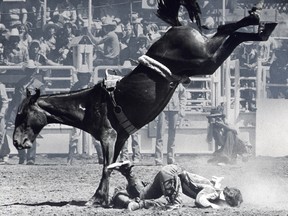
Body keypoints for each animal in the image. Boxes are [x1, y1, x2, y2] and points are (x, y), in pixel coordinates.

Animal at [11, 0, 276, 206]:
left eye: (22, 114)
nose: (16, 142)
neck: (89, 104)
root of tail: (176, 27)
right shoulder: (119, 138)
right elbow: (114, 165)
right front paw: (110, 192)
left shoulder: (107, 136)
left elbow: (106, 166)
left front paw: (97, 199)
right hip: (205, 61)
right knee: (228, 34)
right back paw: (261, 27)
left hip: (204, 58)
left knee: (226, 32)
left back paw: (257, 21)